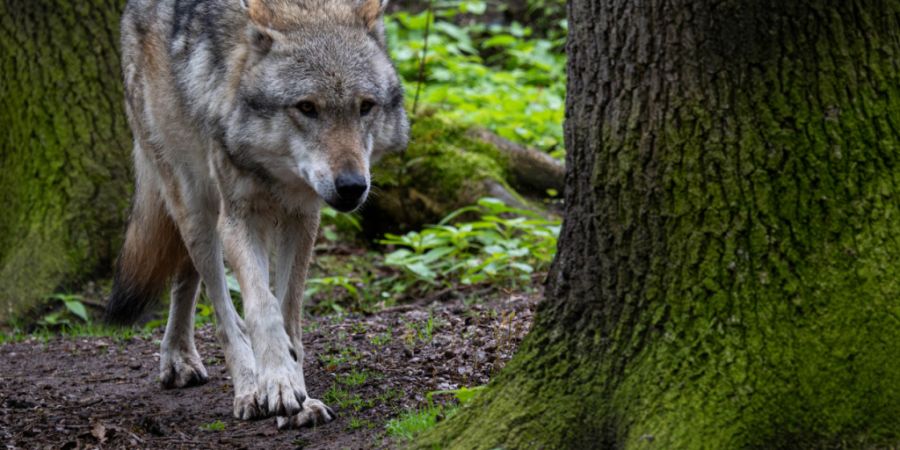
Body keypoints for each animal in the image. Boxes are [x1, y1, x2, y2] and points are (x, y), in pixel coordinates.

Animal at [106, 0, 408, 428]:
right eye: (307, 108)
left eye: (365, 106)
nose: (352, 186)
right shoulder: (239, 218)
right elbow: (261, 310)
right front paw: (276, 385)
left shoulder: (302, 218)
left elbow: (289, 314)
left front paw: (299, 394)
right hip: (196, 207)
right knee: (221, 308)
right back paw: (244, 388)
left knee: (186, 277)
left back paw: (182, 357)